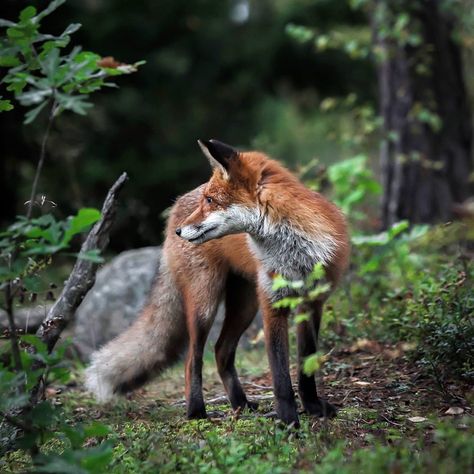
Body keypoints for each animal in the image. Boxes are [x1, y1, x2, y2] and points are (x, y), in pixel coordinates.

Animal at [86, 139, 348, 424]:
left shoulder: (312, 303)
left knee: (222, 351)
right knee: (193, 359)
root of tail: (177, 204)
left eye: (210, 200)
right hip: (206, 304)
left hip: (245, 305)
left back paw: (240, 404)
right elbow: (280, 376)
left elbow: (306, 365)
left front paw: (312, 407)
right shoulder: (273, 305)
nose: (179, 231)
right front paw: (288, 421)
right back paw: (196, 412)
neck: (296, 253)